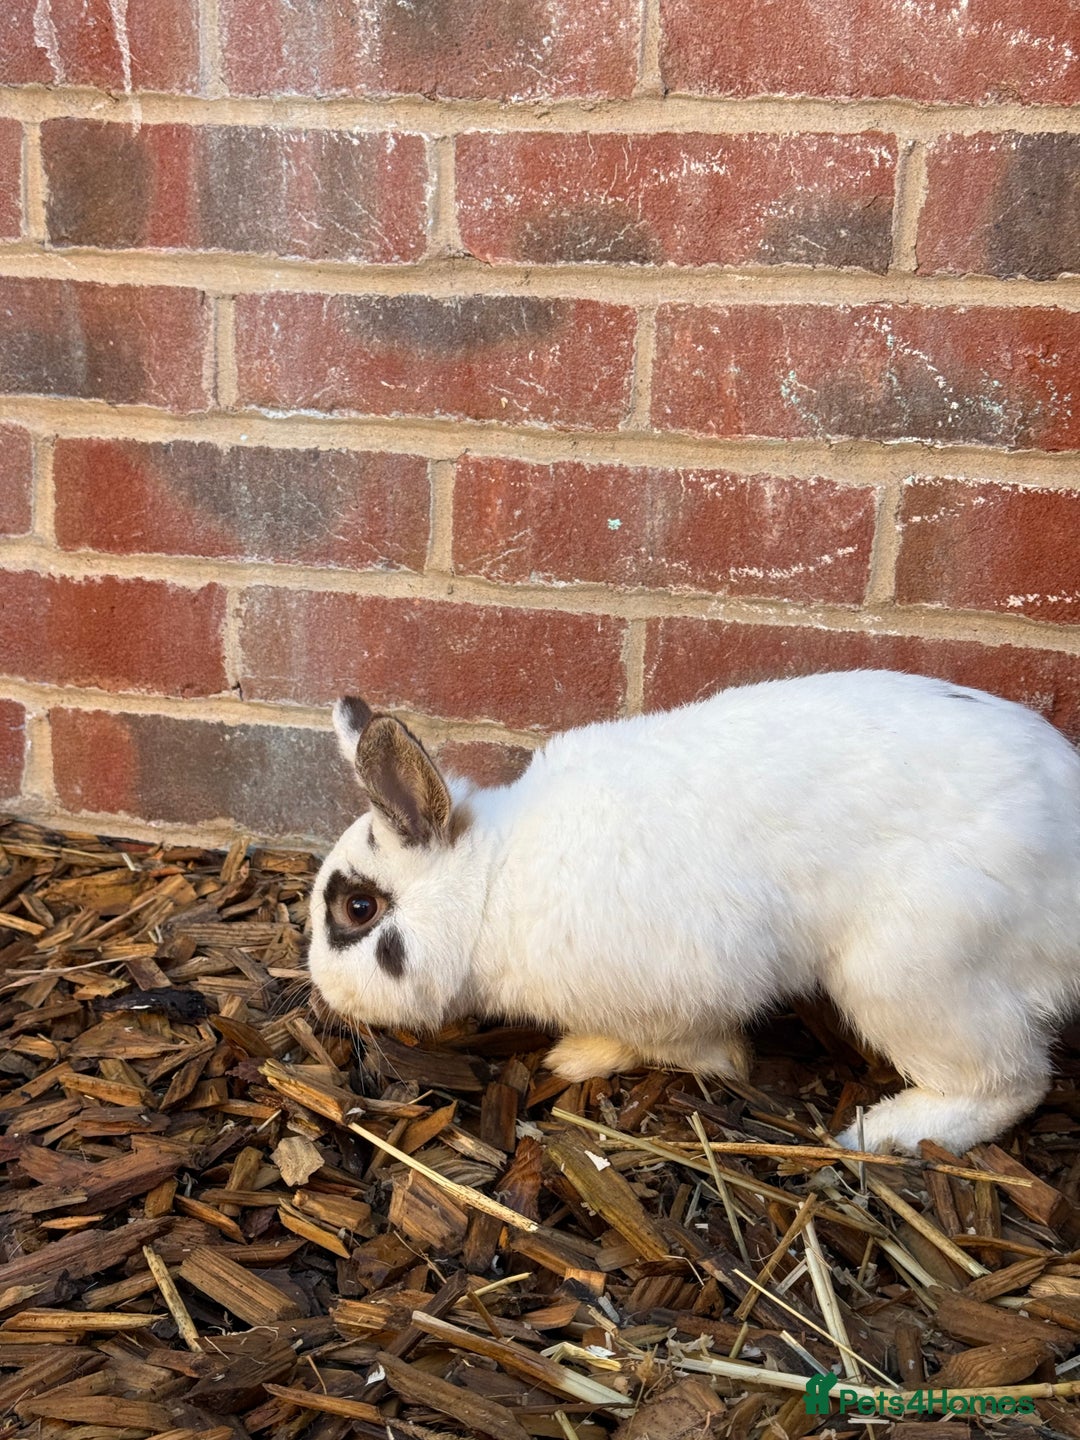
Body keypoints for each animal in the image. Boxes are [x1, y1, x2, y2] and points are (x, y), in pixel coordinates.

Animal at [307, 669, 1080, 1155]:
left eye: (357, 907)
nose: (318, 991)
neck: (491, 885)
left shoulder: (679, 993)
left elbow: (686, 1047)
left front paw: (582, 1057)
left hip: (915, 978)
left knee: (1012, 1083)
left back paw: (882, 1133)